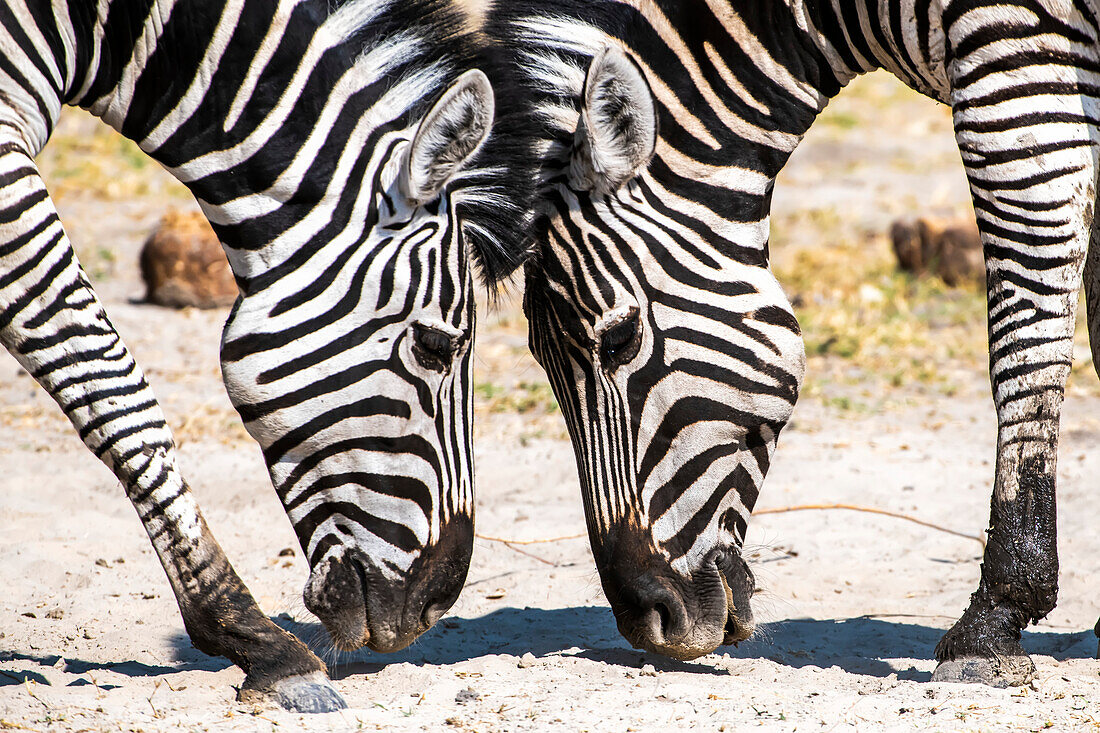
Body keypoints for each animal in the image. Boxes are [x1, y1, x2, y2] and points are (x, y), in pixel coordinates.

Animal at [495, 0, 1100, 682]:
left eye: (621, 339)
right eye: (540, 361)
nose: (648, 623)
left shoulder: (1022, 63)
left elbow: (1026, 339)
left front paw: (995, 617)